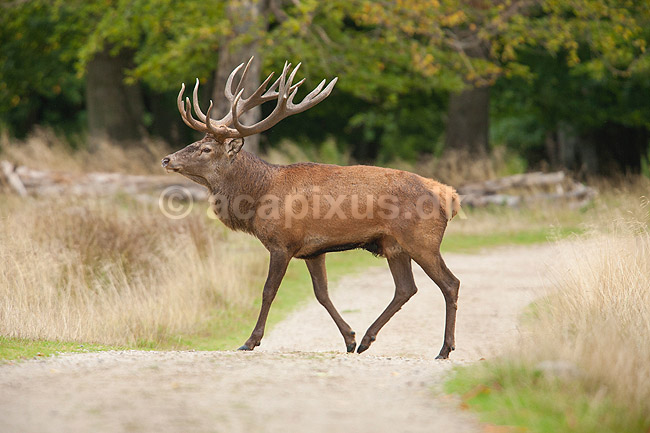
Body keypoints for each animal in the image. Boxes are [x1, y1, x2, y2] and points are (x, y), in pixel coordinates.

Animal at [162, 57, 461, 359]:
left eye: (206, 149)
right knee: (405, 288)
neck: (258, 195)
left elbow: (268, 291)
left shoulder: (282, 243)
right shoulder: (313, 250)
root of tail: (449, 195)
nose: (167, 159)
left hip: (422, 240)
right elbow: (322, 294)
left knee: (450, 283)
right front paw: (349, 338)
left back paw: (444, 349)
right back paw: (367, 339)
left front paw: (250, 341)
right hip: (393, 244)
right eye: (196, 143)